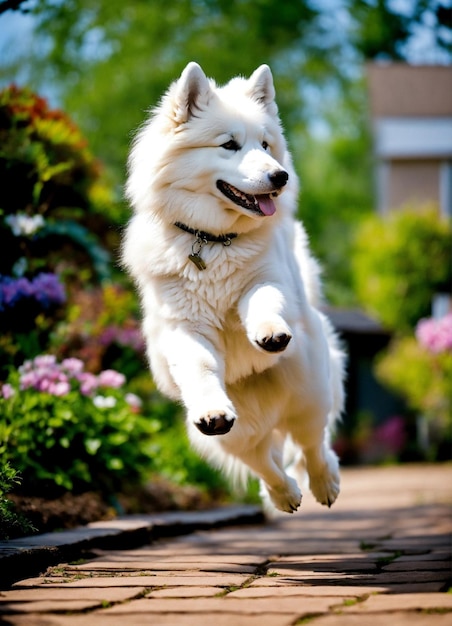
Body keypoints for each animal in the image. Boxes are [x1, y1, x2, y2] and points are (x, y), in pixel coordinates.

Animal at [122, 62, 344, 512]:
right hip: (237, 434)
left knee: (312, 445)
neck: (211, 240)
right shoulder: (185, 328)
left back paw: (323, 484)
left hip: (308, 393)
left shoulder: (267, 279)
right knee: (262, 461)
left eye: (265, 144)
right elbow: (201, 367)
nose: (280, 175)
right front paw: (212, 409)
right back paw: (283, 494)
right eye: (229, 145)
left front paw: (269, 333)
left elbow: (262, 300)